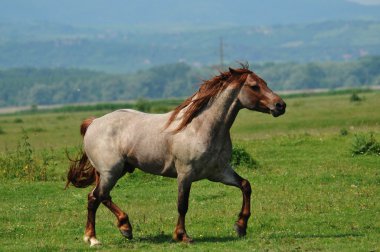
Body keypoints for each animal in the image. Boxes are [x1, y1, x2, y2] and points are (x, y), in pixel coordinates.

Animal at [66, 65, 284, 246]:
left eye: (265, 83)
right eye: (254, 86)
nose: (280, 105)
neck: (199, 127)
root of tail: (94, 123)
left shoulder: (219, 172)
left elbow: (245, 185)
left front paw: (240, 226)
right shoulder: (185, 174)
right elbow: (182, 205)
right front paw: (182, 236)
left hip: (115, 171)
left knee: (98, 197)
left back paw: (117, 229)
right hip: (111, 171)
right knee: (97, 197)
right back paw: (98, 237)